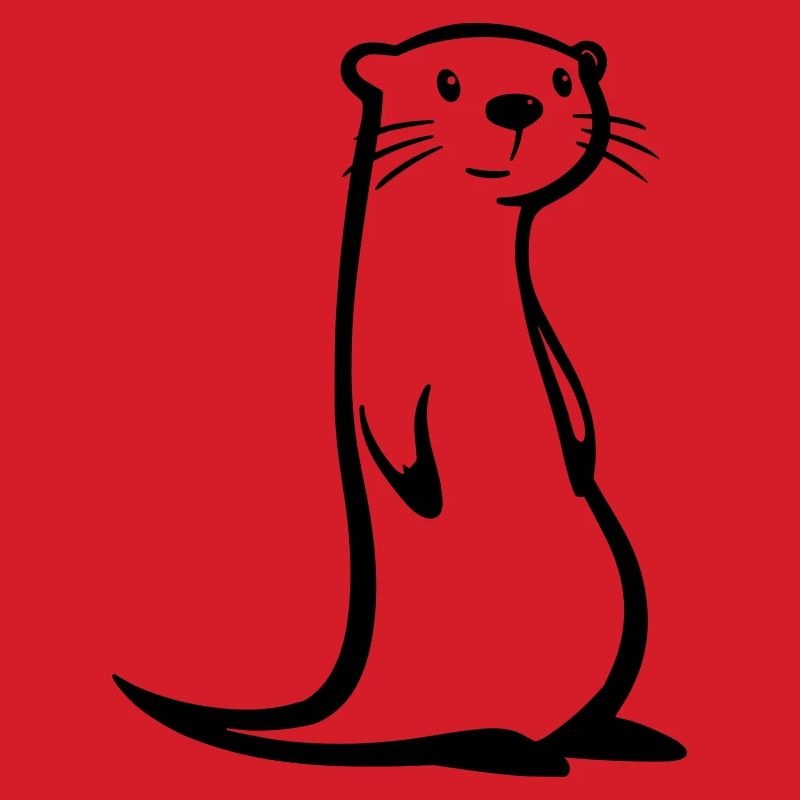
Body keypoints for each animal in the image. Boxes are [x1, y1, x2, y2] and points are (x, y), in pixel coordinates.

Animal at [113, 23, 685, 777]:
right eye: (447, 82)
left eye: (564, 81)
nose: (517, 104)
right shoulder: (390, 349)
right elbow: (386, 415)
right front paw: (417, 480)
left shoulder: (540, 332)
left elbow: (569, 384)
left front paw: (583, 451)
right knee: (457, 735)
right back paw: (511, 752)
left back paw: (618, 737)